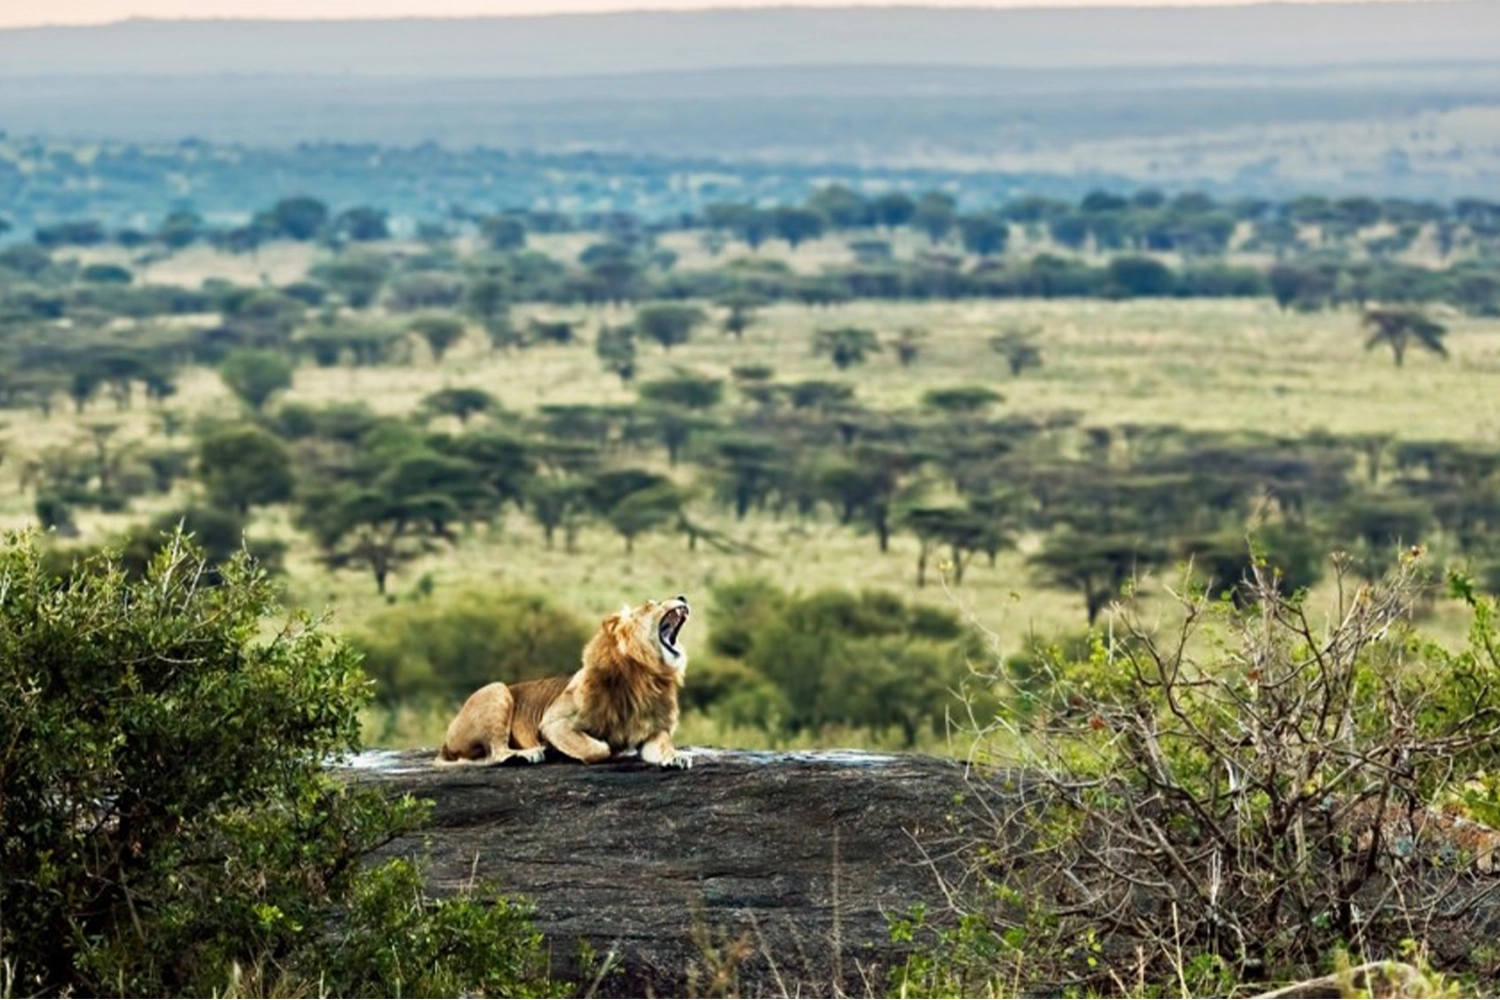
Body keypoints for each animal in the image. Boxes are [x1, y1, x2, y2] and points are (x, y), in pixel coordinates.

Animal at [432, 599, 693, 773]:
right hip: (497, 689)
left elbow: (663, 746)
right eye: (652, 604)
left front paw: (676, 757)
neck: (644, 675)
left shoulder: (651, 732)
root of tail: (445, 743)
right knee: (496, 753)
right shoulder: (553, 723)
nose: (682, 598)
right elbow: (598, 749)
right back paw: (527, 755)